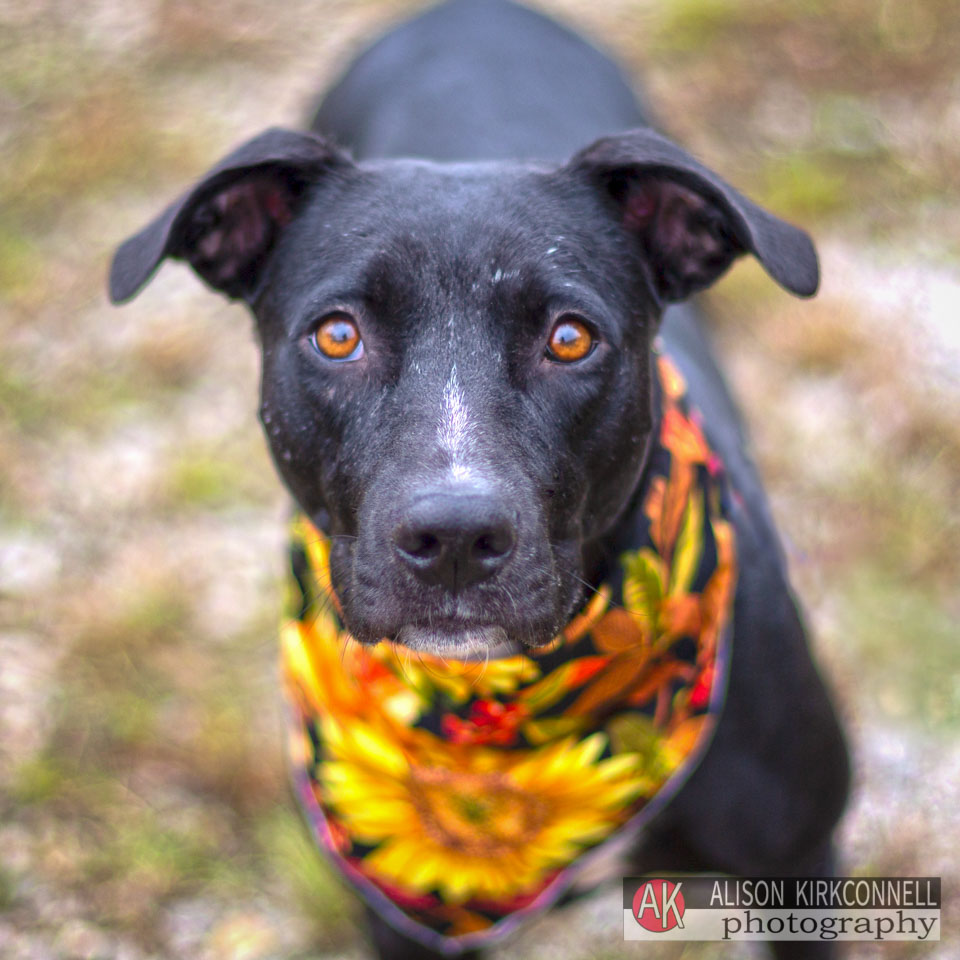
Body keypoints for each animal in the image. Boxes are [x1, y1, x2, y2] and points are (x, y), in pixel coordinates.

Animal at [110, 1, 848, 960]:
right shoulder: (402, 921)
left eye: (570, 338)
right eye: (337, 335)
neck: (488, 716)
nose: (455, 537)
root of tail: (474, 9)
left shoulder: (801, 862)